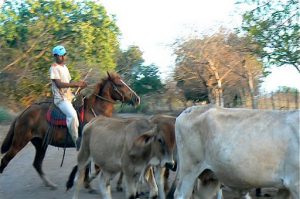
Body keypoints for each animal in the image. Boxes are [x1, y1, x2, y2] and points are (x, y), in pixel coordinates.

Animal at [0, 71, 140, 188]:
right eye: (119, 84)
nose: (137, 98)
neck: (95, 111)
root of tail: (23, 113)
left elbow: (90, 166)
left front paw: (87, 183)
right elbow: (93, 167)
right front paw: (87, 183)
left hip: (40, 144)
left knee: (37, 164)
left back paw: (50, 184)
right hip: (19, 142)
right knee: (5, 160)